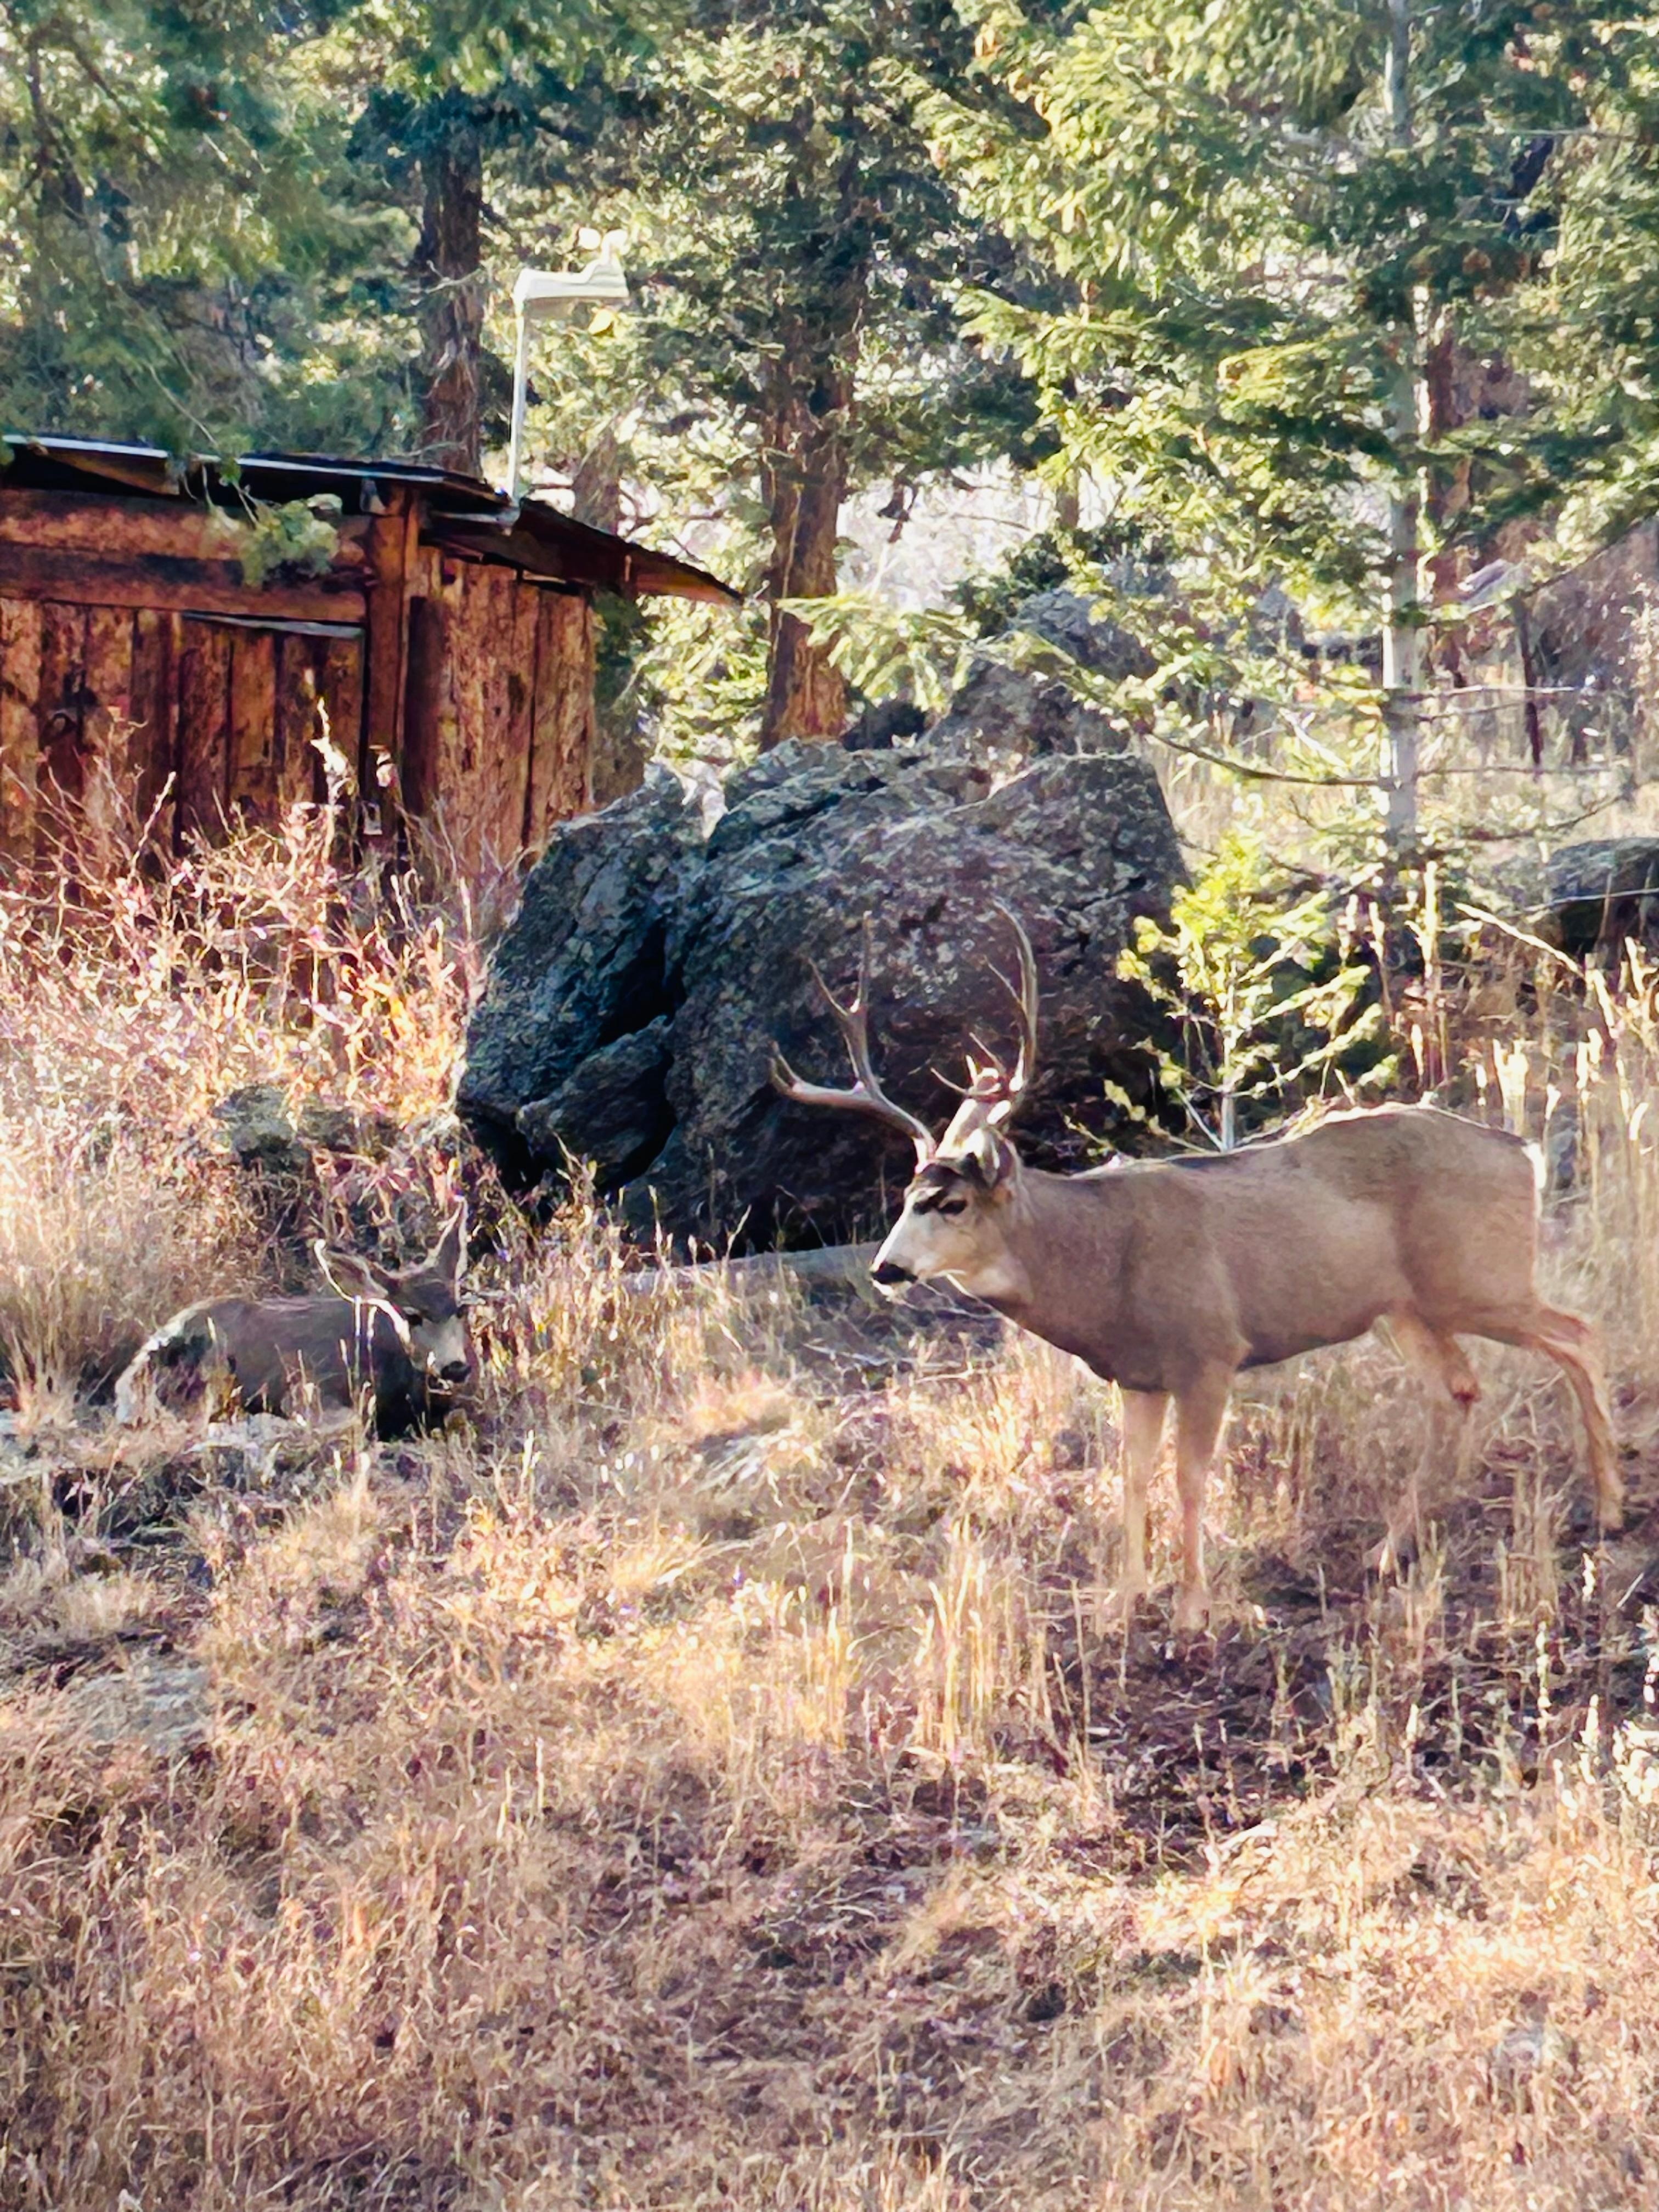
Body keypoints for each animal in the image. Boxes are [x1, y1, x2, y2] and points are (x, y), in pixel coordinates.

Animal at [771, 912, 1622, 1632]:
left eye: (949, 1202)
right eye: (904, 1196)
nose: (886, 1268)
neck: (1099, 1264)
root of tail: (1521, 1151)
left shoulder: (1211, 1351)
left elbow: (1188, 1478)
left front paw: (1190, 1609)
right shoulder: (1139, 1375)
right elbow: (1132, 1478)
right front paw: (1120, 1604)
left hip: (1481, 1280)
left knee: (1580, 1334)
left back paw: (1609, 1505)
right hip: (1406, 1307)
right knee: (1459, 1389)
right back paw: (1391, 1550)